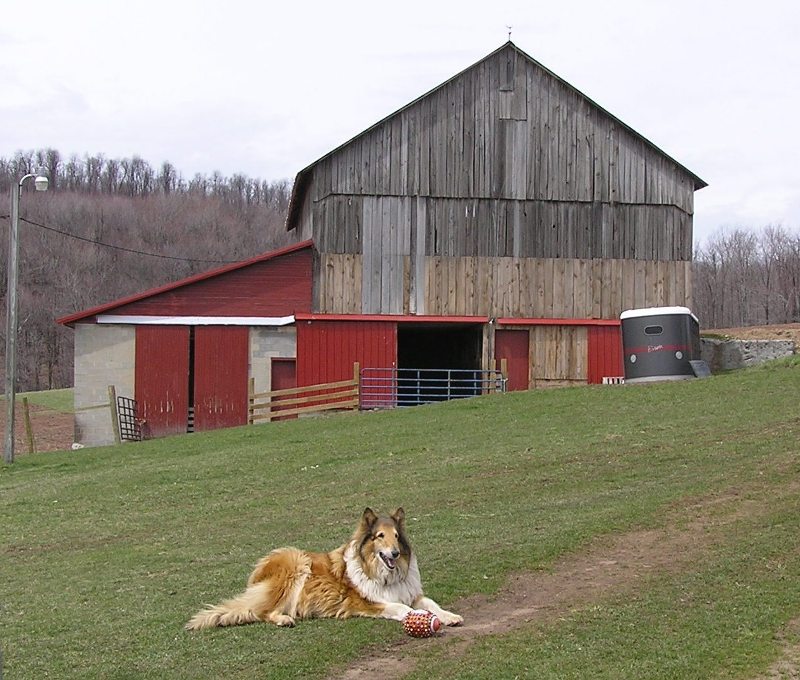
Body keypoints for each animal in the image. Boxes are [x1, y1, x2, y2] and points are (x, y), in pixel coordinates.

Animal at [186, 508, 462, 628]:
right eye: (380, 536)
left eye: (396, 536)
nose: (394, 553)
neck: (385, 574)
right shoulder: (367, 603)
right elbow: (404, 609)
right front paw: (422, 618)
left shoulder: (412, 593)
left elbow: (431, 604)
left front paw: (448, 616)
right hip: (295, 562)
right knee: (261, 611)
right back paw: (284, 619)